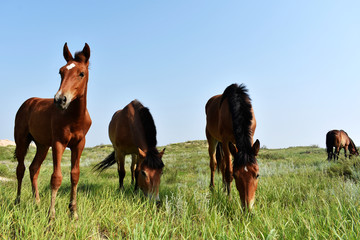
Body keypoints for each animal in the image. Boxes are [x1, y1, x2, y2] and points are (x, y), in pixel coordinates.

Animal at [14, 42, 91, 219]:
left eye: (81, 73)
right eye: (61, 72)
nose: (60, 99)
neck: (74, 118)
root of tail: (28, 102)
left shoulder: (79, 144)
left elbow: (75, 175)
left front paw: (73, 212)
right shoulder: (58, 143)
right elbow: (56, 178)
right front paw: (51, 216)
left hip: (42, 145)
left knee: (34, 168)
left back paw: (37, 202)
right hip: (22, 141)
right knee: (20, 169)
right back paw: (18, 201)